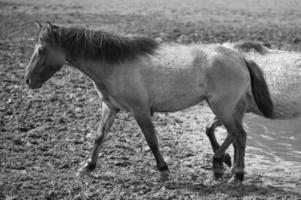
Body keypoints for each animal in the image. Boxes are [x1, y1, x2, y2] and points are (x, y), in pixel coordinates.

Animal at [24, 21, 272, 183]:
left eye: (42, 49)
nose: (28, 80)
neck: (115, 65)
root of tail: (241, 58)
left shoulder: (140, 111)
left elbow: (152, 140)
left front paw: (163, 170)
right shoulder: (110, 108)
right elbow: (99, 136)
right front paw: (88, 166)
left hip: (222, 107)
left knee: (239, 135)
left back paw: (236, 175)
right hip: (228, 108)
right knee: (233, 135)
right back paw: (225, 166)